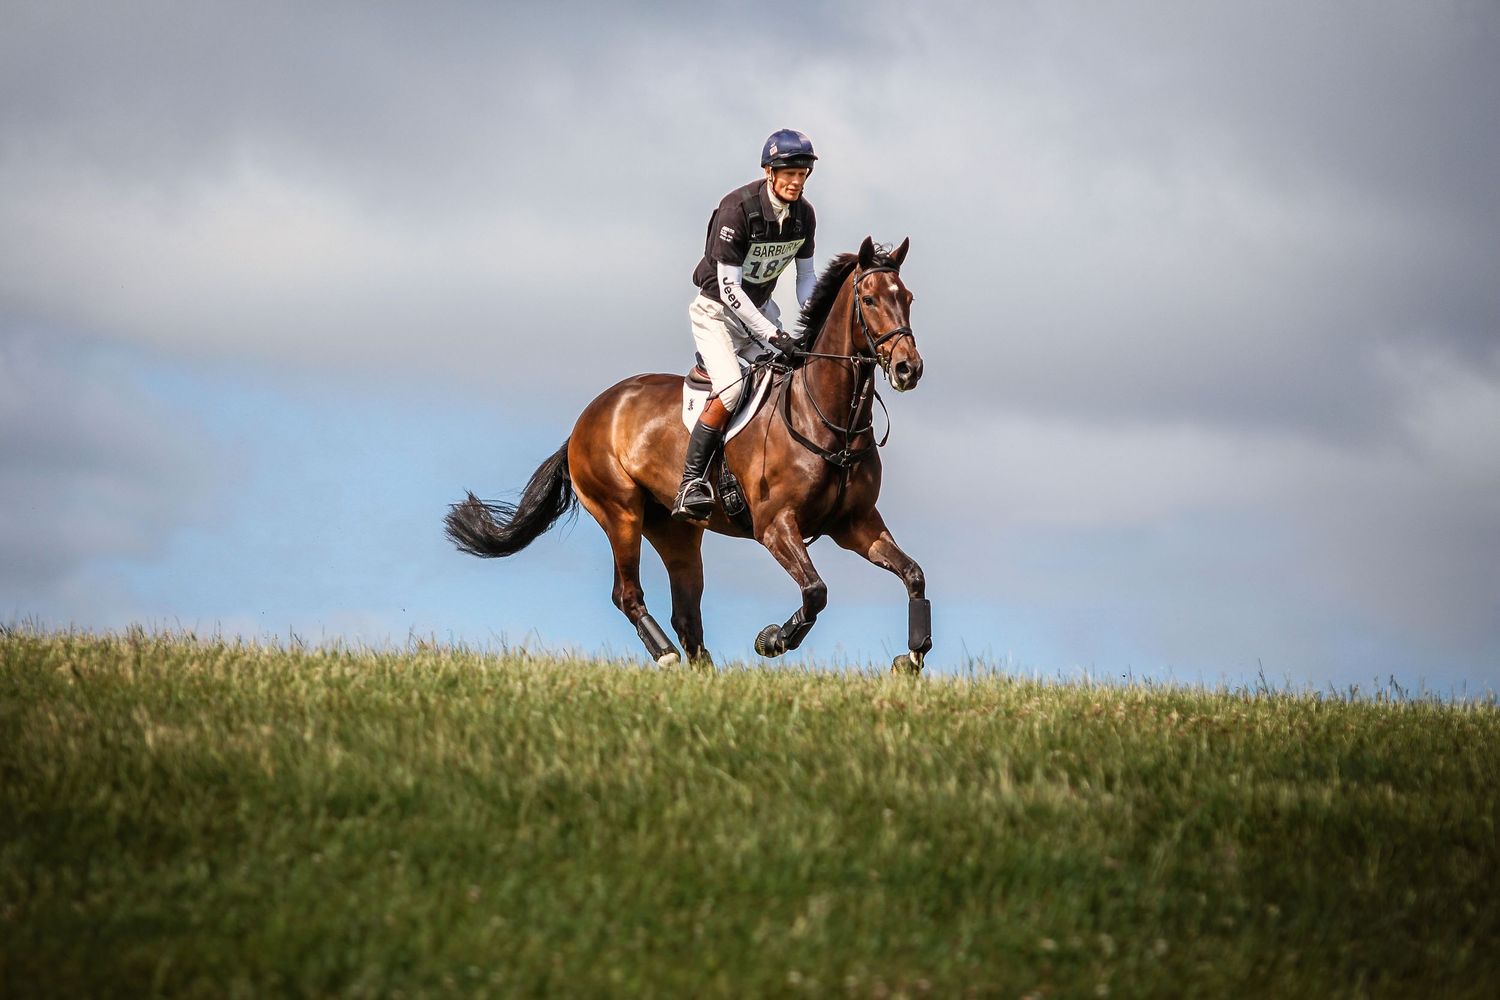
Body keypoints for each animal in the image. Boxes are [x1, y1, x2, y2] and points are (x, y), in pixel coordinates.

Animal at [445, 236, 931, 673]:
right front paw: (772, 639)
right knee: (628, 594)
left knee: (686, 613)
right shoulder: (776, 526)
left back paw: (703, 670)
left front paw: (911, 656)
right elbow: (815, 591)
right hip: (620, 512)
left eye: (907, 299)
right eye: (869, 299)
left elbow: (913, 574)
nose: (908, 368)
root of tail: (586, 419)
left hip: (677, 532)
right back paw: (666, 655)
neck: (827, 419)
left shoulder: (856, 525)